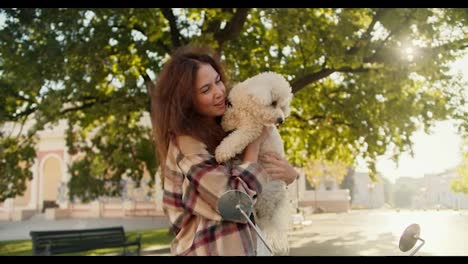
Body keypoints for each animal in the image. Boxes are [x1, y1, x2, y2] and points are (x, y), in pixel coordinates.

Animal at [215, 71, 292, 255]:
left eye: (282, 106)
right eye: (274, 103)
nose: (281, 120)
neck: (249, 106)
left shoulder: (252, 129)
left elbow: (236, 138)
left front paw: (222, 152)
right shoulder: (238, 110)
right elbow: (231, 116)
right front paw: (226, 121)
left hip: (265, 195)